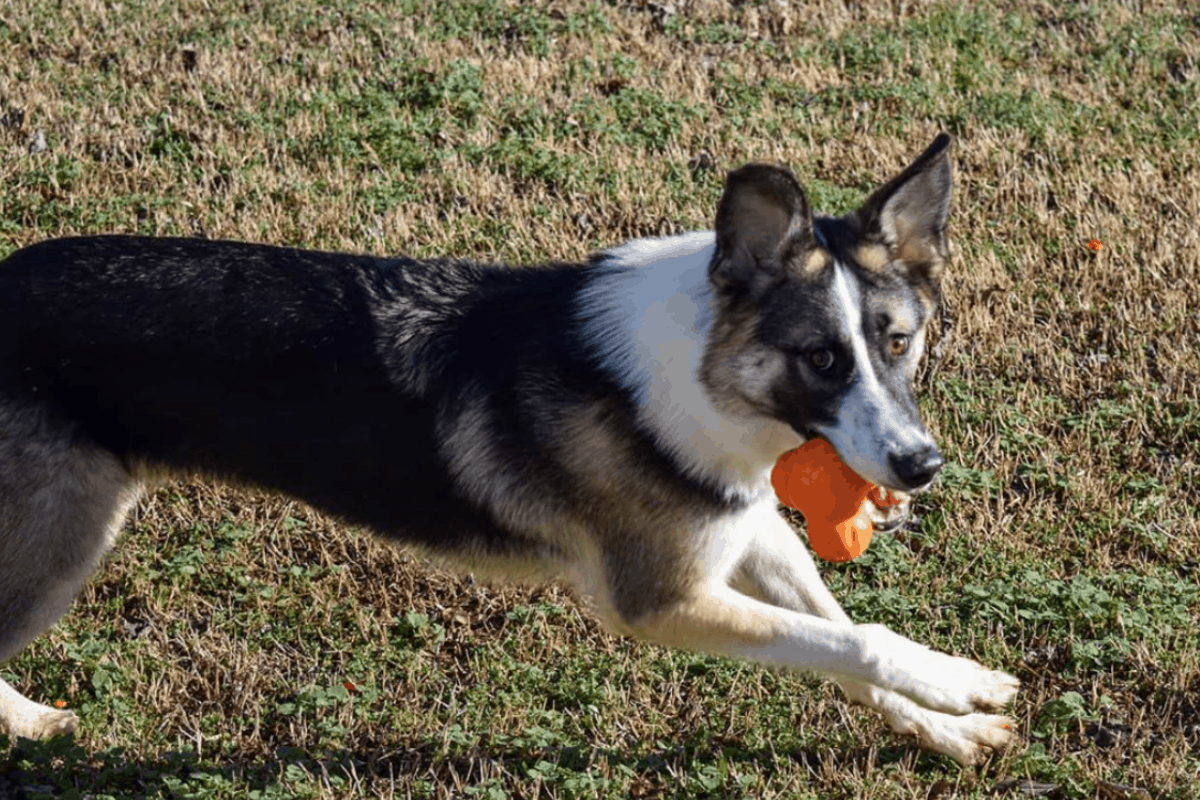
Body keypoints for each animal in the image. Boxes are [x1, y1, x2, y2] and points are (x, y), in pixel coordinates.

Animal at [0, 136, 1017, 762]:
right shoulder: (661, 600)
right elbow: (863, 639)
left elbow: (842, 639)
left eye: (900, 342)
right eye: (822, 357)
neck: (703, 372)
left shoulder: (746, 533)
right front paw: (964, 681)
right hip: (61, 541)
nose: (921, 468)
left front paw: (944, 723)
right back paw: (29, 723)